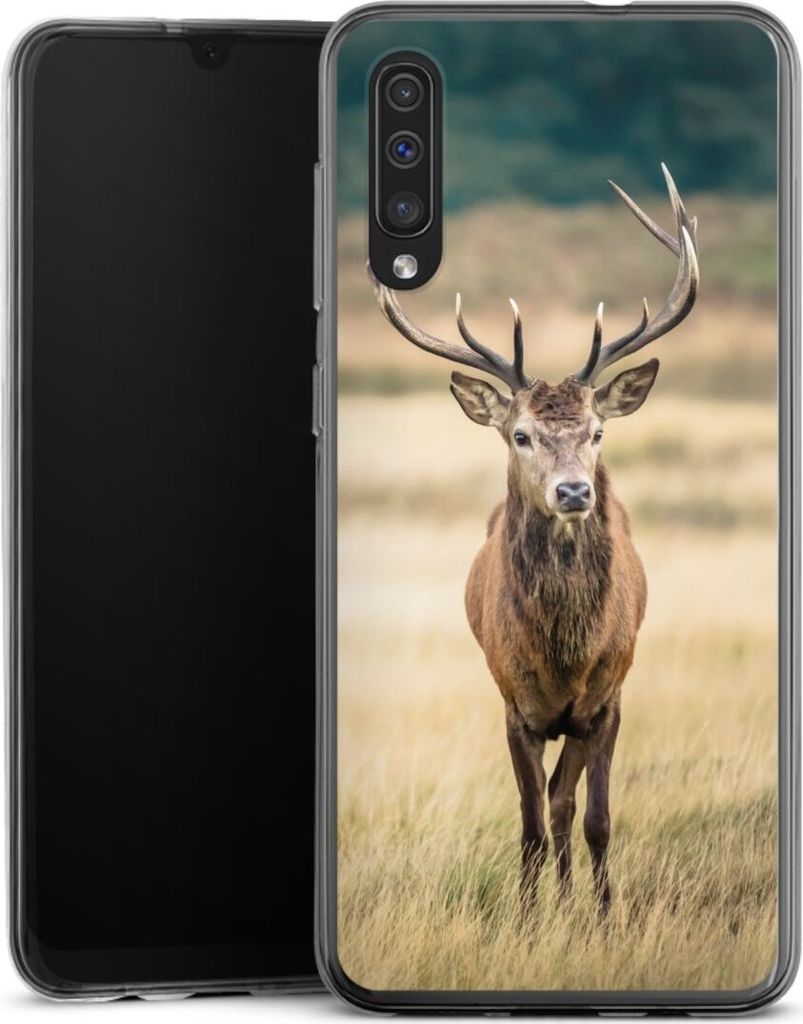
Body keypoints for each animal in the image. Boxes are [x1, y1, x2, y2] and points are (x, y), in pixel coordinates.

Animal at [372, 165, 699, 914]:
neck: (563, 656)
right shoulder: (512, 704)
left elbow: (594, 817)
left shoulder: (607, 699)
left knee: (564, 803)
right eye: (520, 434)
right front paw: (525, 918)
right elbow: (526, 825)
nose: (574, 492)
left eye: (598, 432)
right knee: (546, 807)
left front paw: (603, 918)